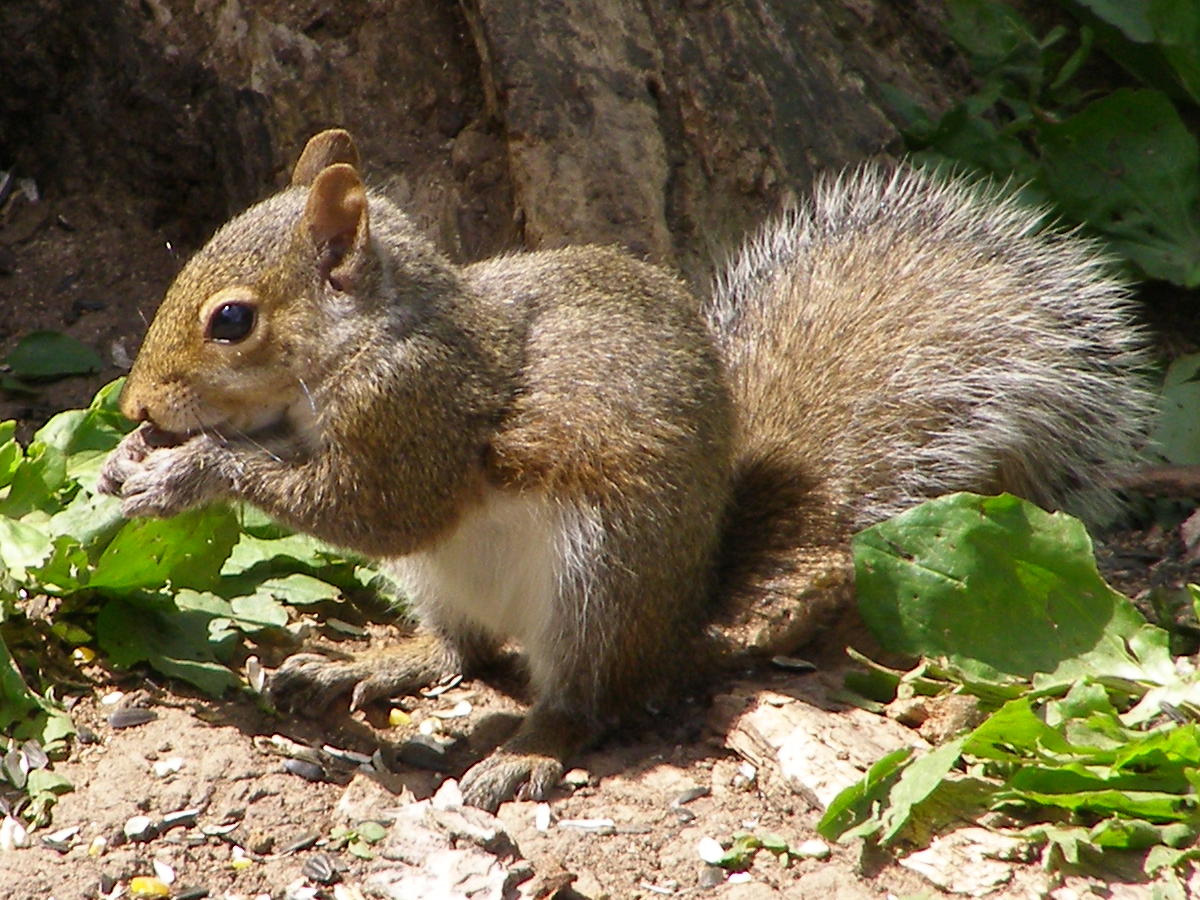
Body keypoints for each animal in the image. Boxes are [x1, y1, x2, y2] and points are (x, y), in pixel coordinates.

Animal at [98, 128, 1155, 810]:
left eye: (232, 320)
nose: (136, 408)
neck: (365, 339)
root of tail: (683, 623)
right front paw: (128, 462)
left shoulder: (419, 417)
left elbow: (371, 505)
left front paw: (182, 473)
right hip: (452, 584)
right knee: (464, 652)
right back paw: (364, 663)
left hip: (598, 579)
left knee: (586, 703)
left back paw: (525, 752)